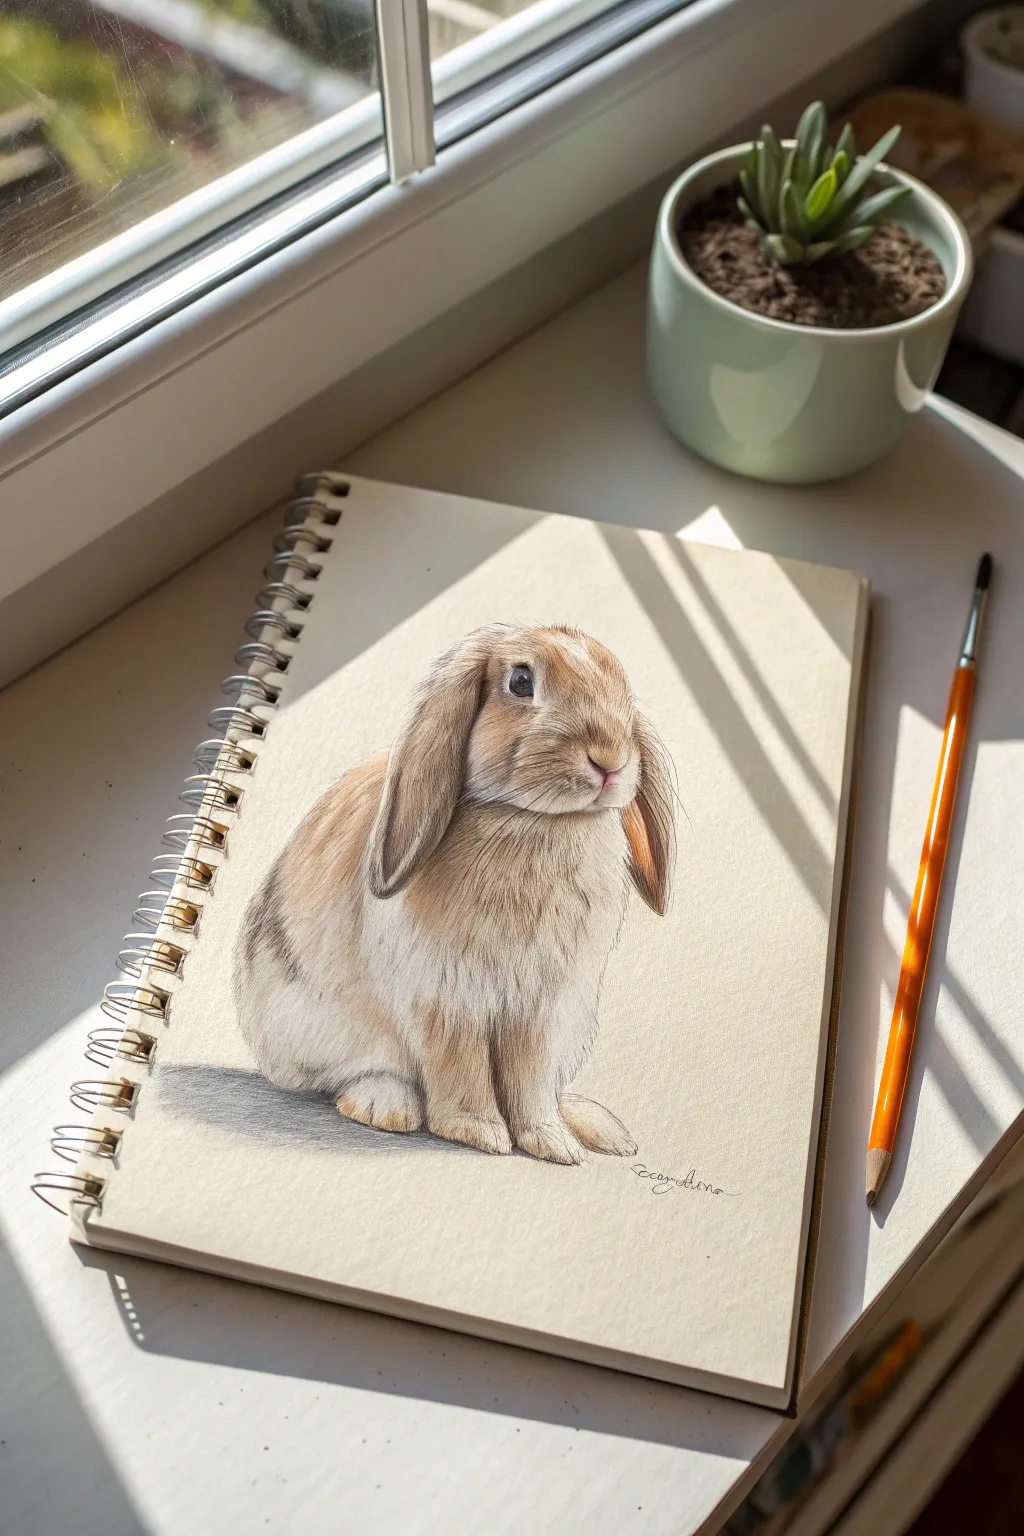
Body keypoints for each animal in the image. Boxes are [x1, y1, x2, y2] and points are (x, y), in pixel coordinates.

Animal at [234, 623, 675, 1165]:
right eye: (521, 682)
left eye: (621, 685)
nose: (610, 760)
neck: (529, 819)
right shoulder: (448, 998)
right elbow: (458, 1065)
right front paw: (479, 1132)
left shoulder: (541, 1007)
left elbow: (530, 1080)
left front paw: (552, 1144)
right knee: (353, 1076)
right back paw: (386, 1107)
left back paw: (603, 1130)